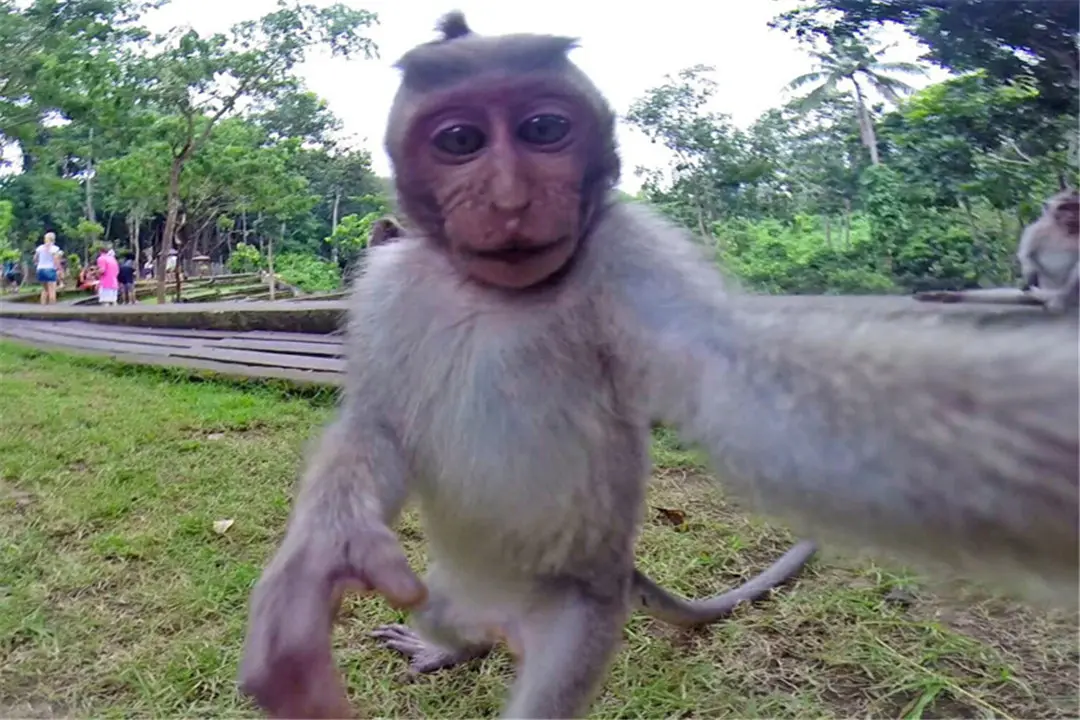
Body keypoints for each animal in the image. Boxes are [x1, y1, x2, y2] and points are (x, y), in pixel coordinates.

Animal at [238, 12, 1080, 720]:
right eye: (460, 142)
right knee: (442, 612)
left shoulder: (631, 256)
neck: (495, 294)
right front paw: (318, 567)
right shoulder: (386, 284)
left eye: (545, 129)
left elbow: (743, 384)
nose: (510, 199)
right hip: (448, 584)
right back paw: (446, 646)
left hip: (579, 615)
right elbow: (375, 423)